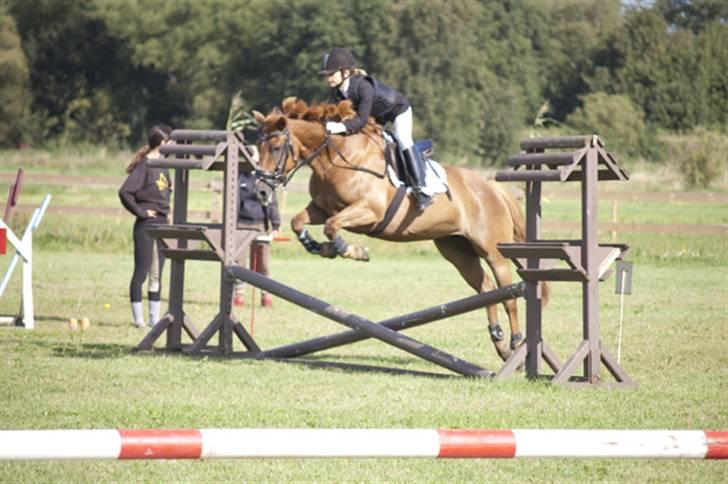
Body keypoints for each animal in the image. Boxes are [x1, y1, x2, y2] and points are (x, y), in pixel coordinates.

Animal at [255, 97, 528, 360]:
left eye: (276, 148)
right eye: (258, 148)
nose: (261, 191)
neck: (336, 159)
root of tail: (491, 188)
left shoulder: (369, 212)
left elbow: (332, 227)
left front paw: (351, 251)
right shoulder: (322, 209)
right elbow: (298, 222)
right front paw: (319, 247)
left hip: (493, 251)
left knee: (508, 295)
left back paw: (515, 343)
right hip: (458, 251)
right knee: (487, 288)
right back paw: (500, 342)